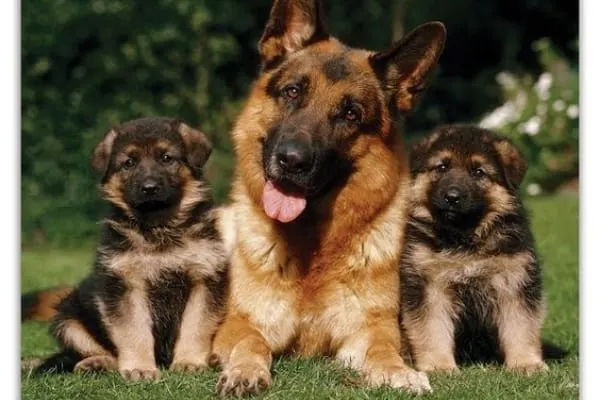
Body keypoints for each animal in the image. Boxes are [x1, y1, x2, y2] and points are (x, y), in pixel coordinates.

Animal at [35, 116, 229, 382]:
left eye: (166, 158)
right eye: (129, 163)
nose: (149, 187)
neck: (158, 227)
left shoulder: (204, 278)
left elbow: (195, 325)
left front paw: (189, 361)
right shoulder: (125, 285)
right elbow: (133, 330)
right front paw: (140, 368)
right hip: (68, 318)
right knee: (101, 351)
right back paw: (96, 363)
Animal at [210, 0, 446, 396]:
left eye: (350, 113)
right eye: (293, 92)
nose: (291, 161)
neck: (312, 249)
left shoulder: (370, 328)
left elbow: (384, 350)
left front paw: (398, 372)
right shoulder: (241, 323)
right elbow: (250, 342)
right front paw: (245, 371)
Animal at [398, 124, 548, 376]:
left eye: (478, 172)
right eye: (442, 167)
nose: (452, 197)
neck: (464, 239)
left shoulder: (514, 282)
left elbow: (521, 325)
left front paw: (526, 363)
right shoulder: (429, 286)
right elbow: (432, 328)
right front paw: (439, 365)